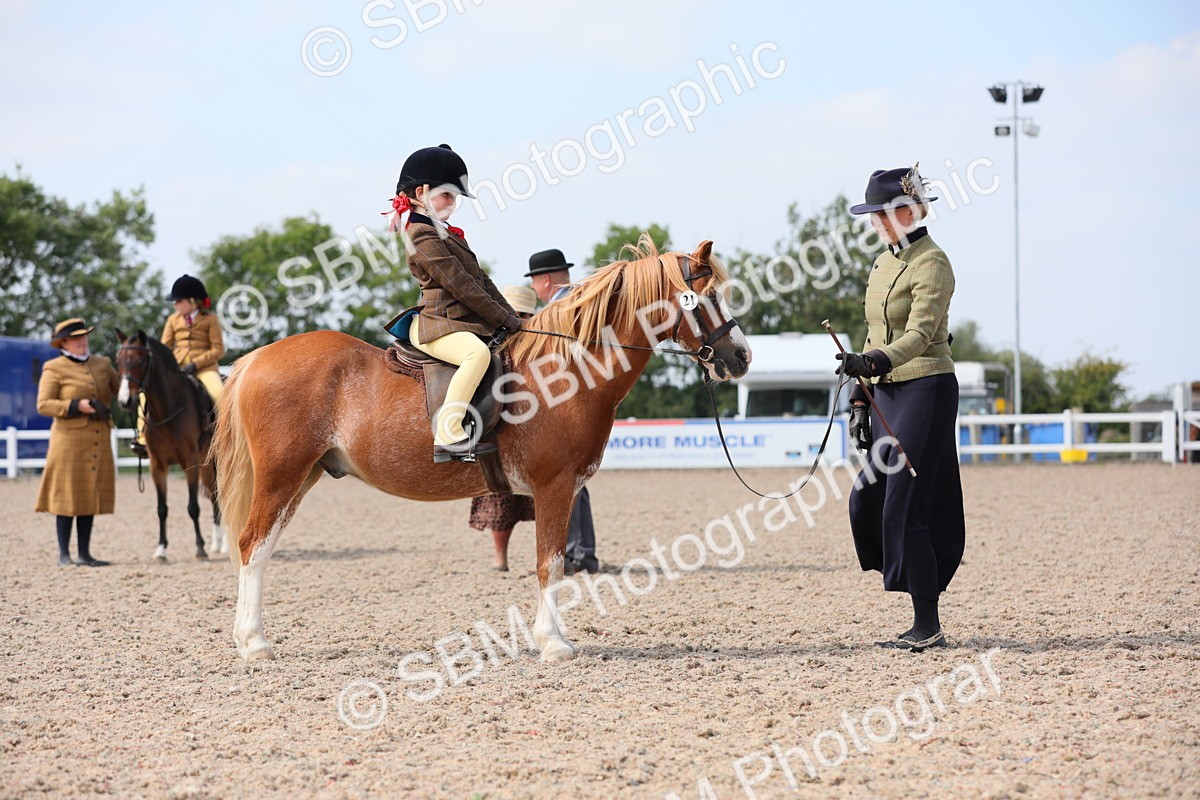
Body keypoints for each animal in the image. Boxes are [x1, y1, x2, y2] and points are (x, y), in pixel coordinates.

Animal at [114, 329, 225, 560]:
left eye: (141, 360)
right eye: (118, 360)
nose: (125, 401)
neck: (167, 410)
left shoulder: (189, 463)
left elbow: (193, 507)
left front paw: (200, 548)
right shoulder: (158, 465)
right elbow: (161, 509)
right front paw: (161, 549)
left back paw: (224, 545)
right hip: (207, 465)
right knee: (214, 497)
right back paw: (217, 544)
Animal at [211, 237, 751, 662]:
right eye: (706, 297)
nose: (741, 356)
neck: (566, 370)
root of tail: (257, 357)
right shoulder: (554, 489)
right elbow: (550, 564)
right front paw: (554, 644)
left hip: (303, 477)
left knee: (261, 548)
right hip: (282, 475)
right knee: (252, 545)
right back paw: (255, 644)